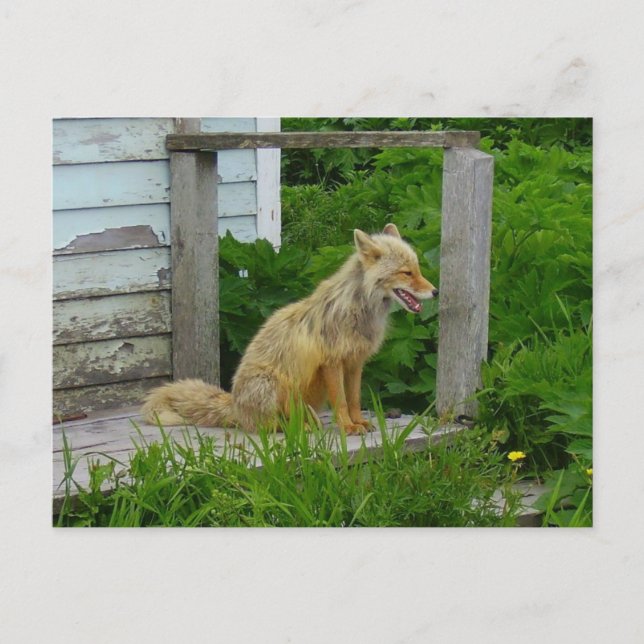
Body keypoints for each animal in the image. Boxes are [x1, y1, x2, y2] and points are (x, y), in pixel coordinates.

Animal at [141, 223, 438, 435]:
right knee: (264, 427)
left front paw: (358, 423)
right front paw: (347, 427)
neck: (359, 310)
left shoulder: (355, 363)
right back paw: (294, 428)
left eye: (418, 269)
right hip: (271, 384)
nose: (436, 291)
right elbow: (341, 401)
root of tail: (234, 403)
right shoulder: (332, 362)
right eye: (407, 273)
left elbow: (353, 399)